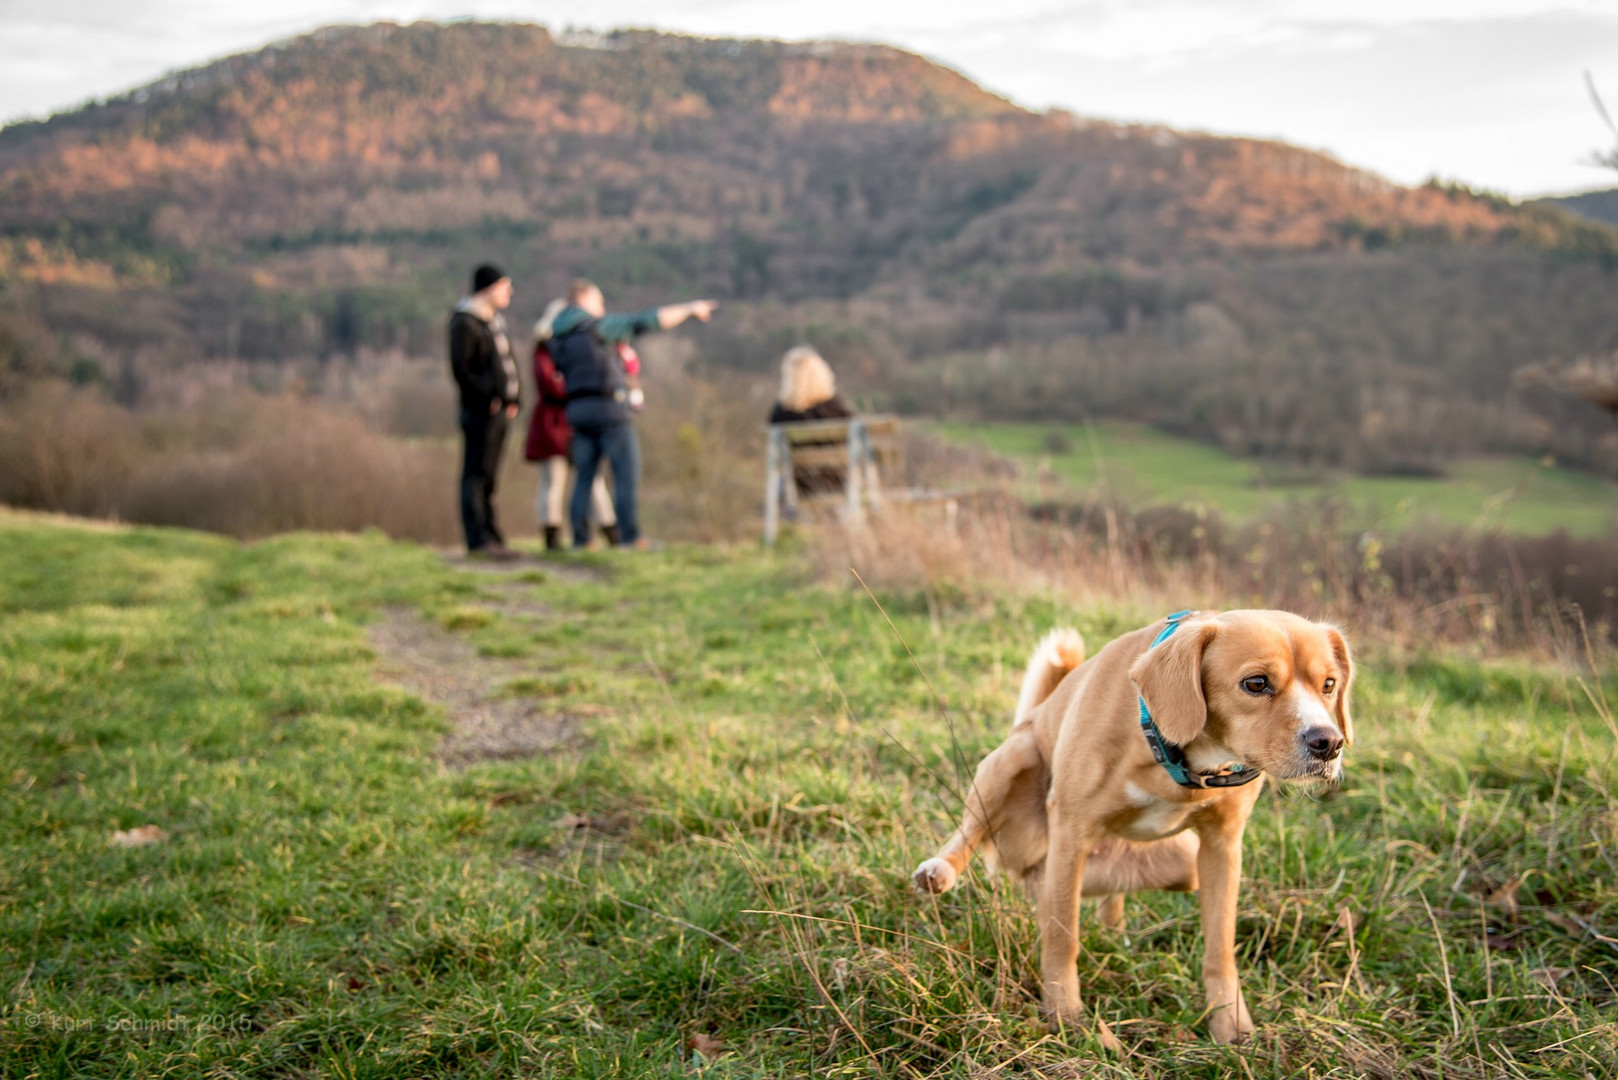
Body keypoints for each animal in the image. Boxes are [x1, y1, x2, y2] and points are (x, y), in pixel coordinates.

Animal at [912, 612, 1352, 1042]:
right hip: (1011, 764)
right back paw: (940, 869)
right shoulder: (1071, 831)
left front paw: (1230, 1025)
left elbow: (1220, 950)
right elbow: (1062, 936)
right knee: (975, 835)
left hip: (1180, 865)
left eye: (1329, 685)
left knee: (1091, 900)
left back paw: (1111, 931)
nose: (1329, 743)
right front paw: (1064, 1013)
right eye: (1256, 683)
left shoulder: (1222, 846)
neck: (1176, 755)